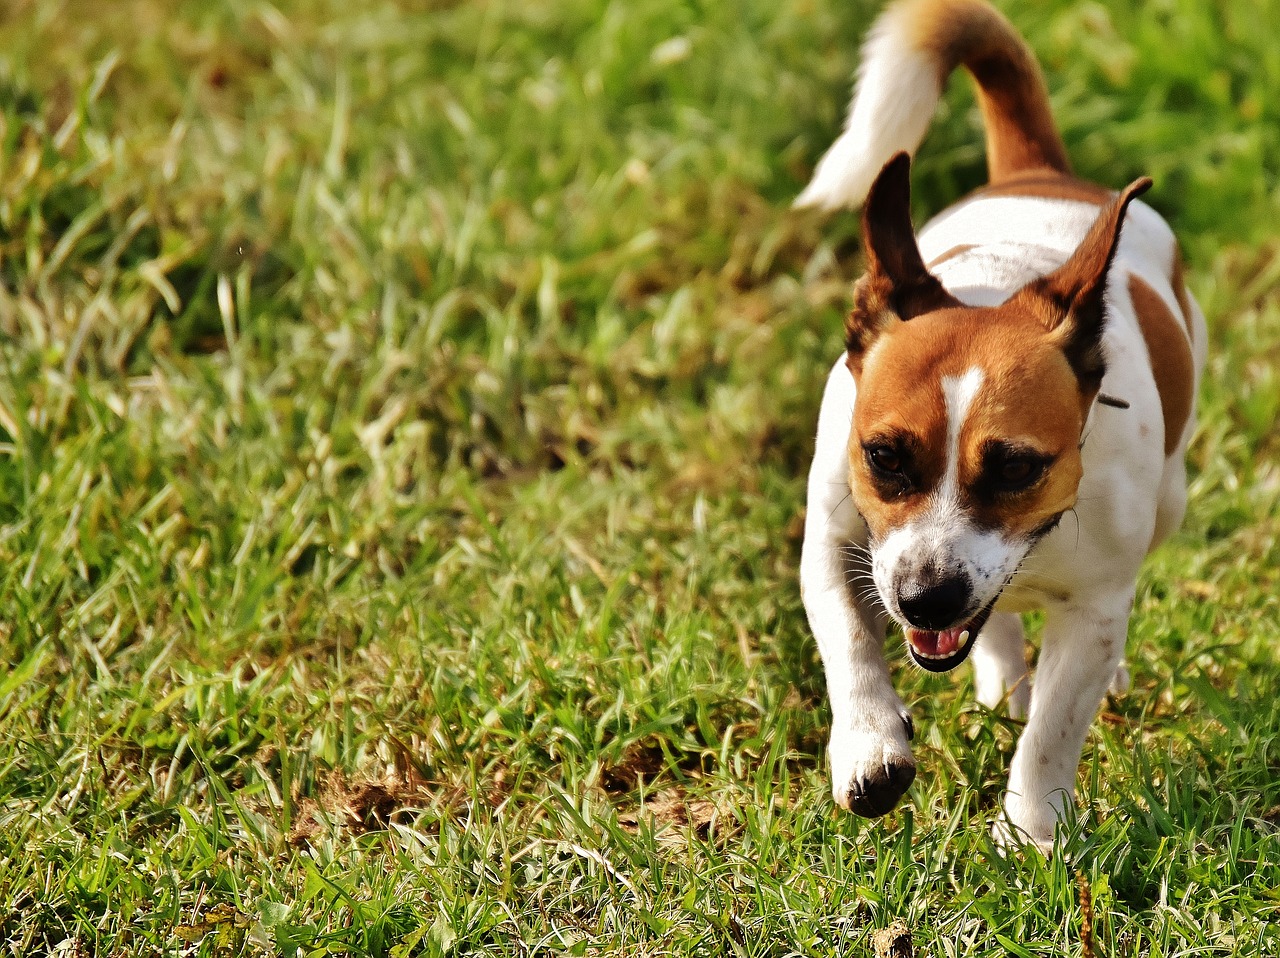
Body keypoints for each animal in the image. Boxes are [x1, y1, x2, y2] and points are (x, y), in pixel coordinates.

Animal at [793, 0, 1203, 845]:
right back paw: (999, 676)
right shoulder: (835, 541)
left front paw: (1029, 835)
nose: (925, 600)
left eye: (1017, 466)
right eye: (884, 456)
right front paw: (870, 747)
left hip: (1171, 503)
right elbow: (849, 643)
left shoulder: (1094, 605)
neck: (1001, 285)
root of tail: (1035, 171)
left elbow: (1053, 728)